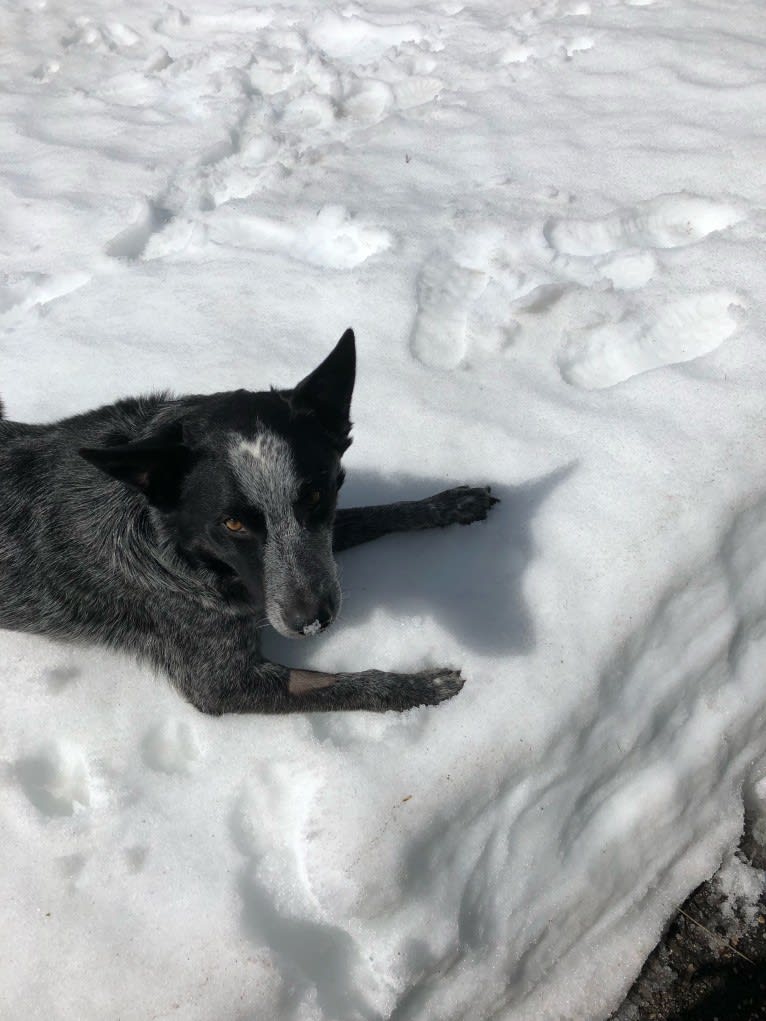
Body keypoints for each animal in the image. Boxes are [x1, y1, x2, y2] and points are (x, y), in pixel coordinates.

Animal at [0, 330, 500, 714]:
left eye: (315, 496)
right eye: (232, 524)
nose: (311, 623)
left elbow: (373, 515)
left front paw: (451, 504)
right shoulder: (223, 682)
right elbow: (343, 685)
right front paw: (423, 686)